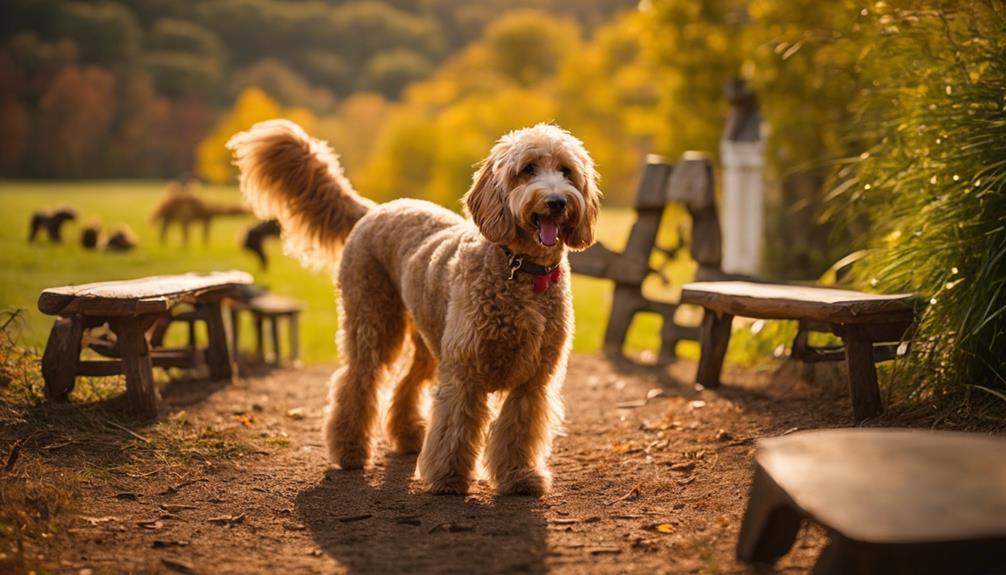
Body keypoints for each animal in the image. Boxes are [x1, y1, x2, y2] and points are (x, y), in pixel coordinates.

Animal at [230, 120, 595, 494]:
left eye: (566, 171)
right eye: (528, 169)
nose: (556, 201)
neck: (521, 270)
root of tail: (374, 209)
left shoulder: (533, 381)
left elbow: (519, 432)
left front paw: (520, 476)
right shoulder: (464, 369)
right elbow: (455, 426)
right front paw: (449, 477)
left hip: (428, 341)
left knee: (406, 384)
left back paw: (407, 438)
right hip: (372, 324)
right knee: (356, 380)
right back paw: (349, 450)